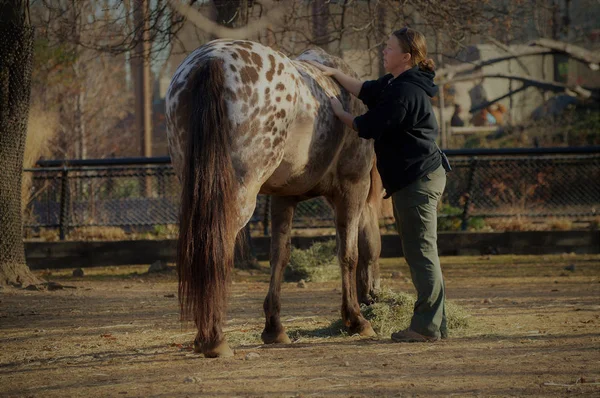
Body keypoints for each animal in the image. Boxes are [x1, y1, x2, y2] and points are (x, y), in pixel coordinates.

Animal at [164, 39, 382, 358]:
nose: (375, 294)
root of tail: (211, 60)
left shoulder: (283, 198)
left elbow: (279, 257)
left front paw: (274, 327)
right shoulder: (353, 188)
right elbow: (349, 254)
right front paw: (355, 319)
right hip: (237, 198)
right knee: (217, 251)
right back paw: (214, 339)